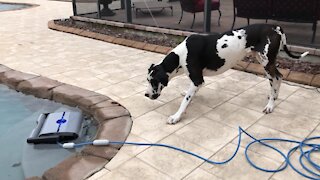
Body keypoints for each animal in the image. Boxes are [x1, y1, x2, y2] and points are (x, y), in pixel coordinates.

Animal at [144, 23, 308, 124]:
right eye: (147, 80)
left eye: (153, 81)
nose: (146, 95)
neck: (181, 55)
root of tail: (276, 27)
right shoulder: (196, 80)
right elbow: (188, 94)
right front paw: (185, 93)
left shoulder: (198, 80)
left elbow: (185, 101)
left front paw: (176, 116)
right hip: (264, 60)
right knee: (278, 77)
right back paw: (273, 96)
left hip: (266, 62)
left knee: (276, 77)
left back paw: (270, 106)